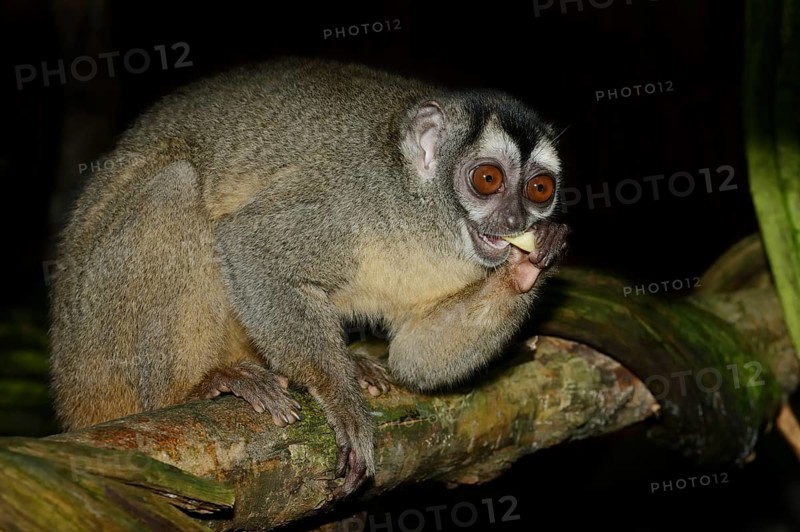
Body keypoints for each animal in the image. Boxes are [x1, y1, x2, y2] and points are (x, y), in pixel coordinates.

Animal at [49, 56, 570, 497]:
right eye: (487, 180)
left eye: (539, 189)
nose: (514, 220)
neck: (428, 220)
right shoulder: (351, 196)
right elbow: (249, 244)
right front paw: (343, 404)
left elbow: (414, 361)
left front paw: (530, 261)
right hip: (95, 346)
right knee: (174, 187)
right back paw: (194, 388)